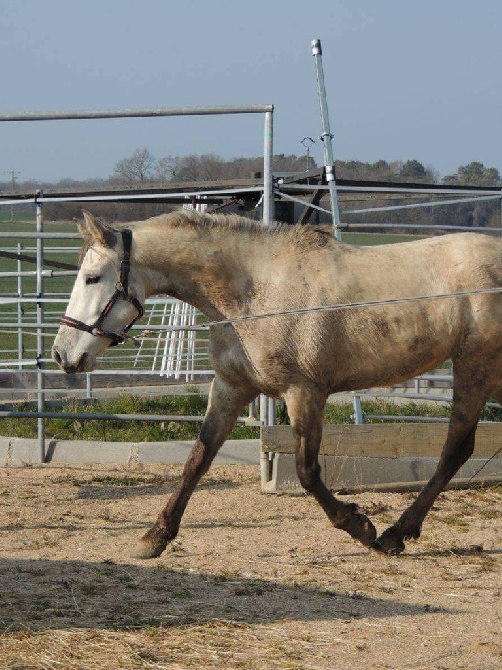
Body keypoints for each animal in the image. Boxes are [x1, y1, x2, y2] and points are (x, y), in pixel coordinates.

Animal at [53, 211, 502, 560]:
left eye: (92, 278)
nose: (62, 355)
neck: (254, 292)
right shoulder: (231, 388)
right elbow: (198, 459)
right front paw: (155, 537)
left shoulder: (304, 393)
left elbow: (307, 471)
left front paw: (360, 527)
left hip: (475, 368)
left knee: (455, 449)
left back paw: (395, 533)